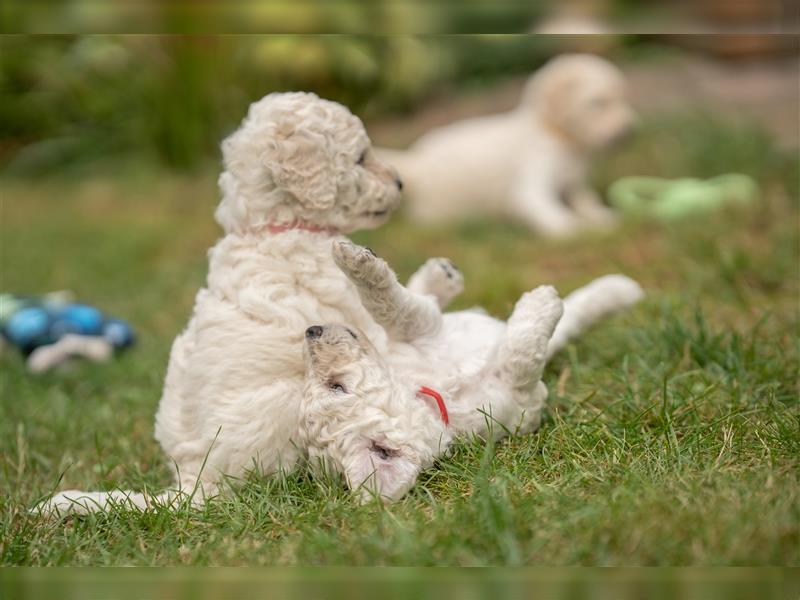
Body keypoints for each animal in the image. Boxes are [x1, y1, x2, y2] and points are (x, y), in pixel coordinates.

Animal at [36, 91, 644, 512]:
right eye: (359, 158)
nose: (400, 184)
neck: (268, 227)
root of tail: (192, 482)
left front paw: (436, 276)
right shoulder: (353, 311)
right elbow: (395, 304)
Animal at [382, 53, 636, 237]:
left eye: (623, 99)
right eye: (597, 103)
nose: (628, 131)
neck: (559, 137)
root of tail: (417, 159)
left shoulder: (573, 181)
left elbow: (586, 199)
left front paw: (603, 216)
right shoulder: (531, 184)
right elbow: (546, 208)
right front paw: (571, 228)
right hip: (442, 209)